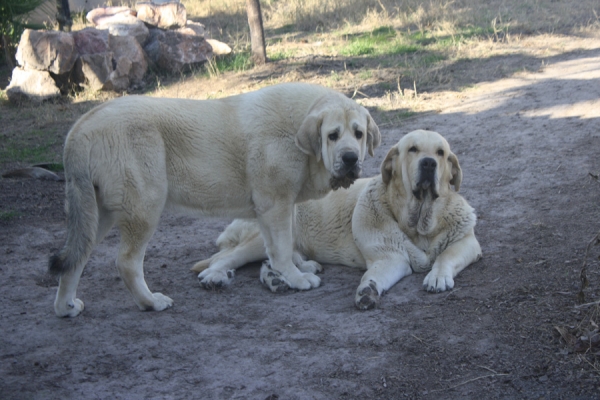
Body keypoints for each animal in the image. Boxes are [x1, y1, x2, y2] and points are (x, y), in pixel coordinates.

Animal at [50, 83, 380, 318]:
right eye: (333, 135)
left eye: (359, 134)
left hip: (97, 214)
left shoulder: (274, 208)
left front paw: (292, 270)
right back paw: (150, 302)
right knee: (127, 262)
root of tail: (79, 129)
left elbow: (275, 248)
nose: (350, 159)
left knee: (76, 259)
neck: (298, 132)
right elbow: (283, 248)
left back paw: (66, 307)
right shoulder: (276, 204)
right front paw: (296, 279)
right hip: (144, 208)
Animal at [193, 131, 482, 310]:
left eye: (441, 153)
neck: (418, 222)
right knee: (227, 257)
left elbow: (445, 256)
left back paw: (280, 277)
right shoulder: (390, 255)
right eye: (413, 149)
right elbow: (377, 272)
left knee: (271, 262)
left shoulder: (466, 243)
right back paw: (217, 275)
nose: (429, 163)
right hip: (272, 231)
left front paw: (437, 277)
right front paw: (368, 289)